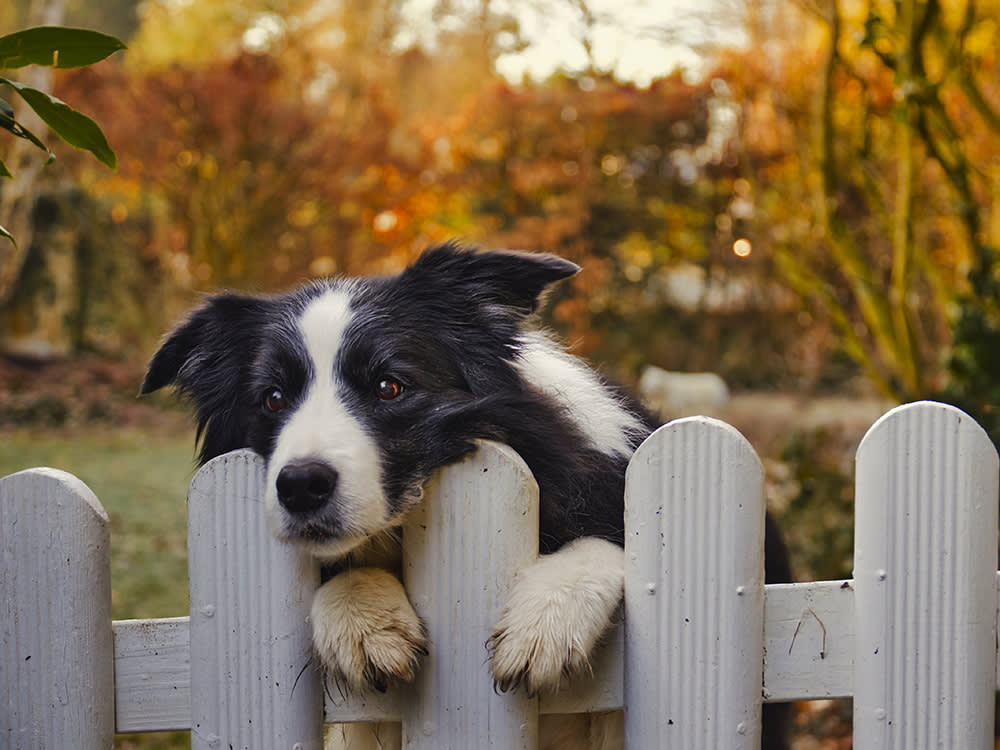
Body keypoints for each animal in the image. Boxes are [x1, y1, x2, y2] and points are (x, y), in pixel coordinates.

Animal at [143, 244, 788, 748]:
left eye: (389, 386)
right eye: (272, 399)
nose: (300, 486)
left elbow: (606, 538)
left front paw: (546, 618)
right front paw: (364, 618)